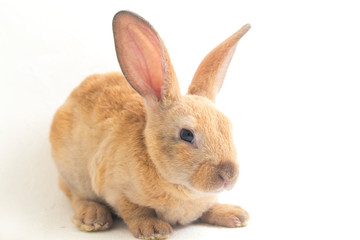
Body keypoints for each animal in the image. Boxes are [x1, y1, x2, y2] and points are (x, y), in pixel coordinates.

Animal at [50, 10, 250, 240]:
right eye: (187, 135)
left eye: (228, 127)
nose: (228, 174)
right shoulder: (116, 190)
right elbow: (135, 211)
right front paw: (154, 230)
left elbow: (208, 209)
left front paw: (236, 216)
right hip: (72, 175)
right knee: (76, 196)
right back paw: (93, 218)